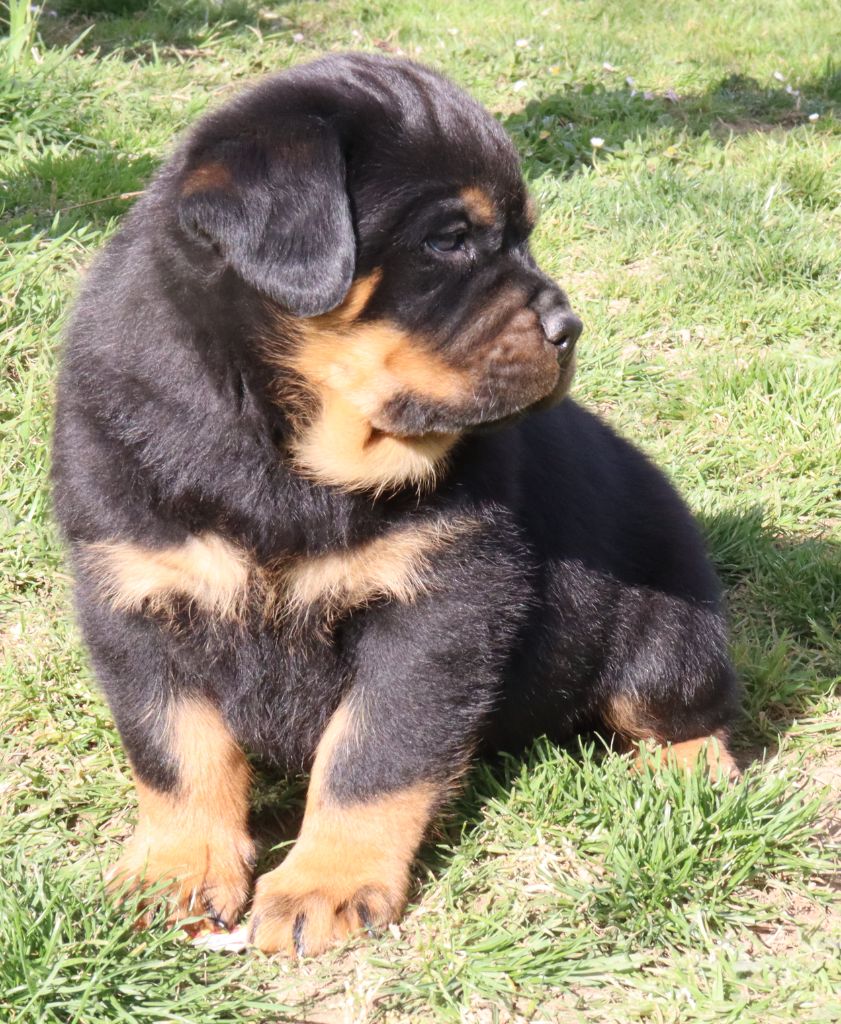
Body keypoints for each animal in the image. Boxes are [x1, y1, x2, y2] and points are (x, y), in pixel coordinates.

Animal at [52, 53, 740, 956]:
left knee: (688, 707)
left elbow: (371, 754)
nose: (569, 328)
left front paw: (324, 885)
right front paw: (177, 866)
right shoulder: (136, 592)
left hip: (669, 625)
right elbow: (174, 747)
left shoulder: (441, 606)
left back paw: (690, 781)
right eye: (447, 239)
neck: (285, 455)